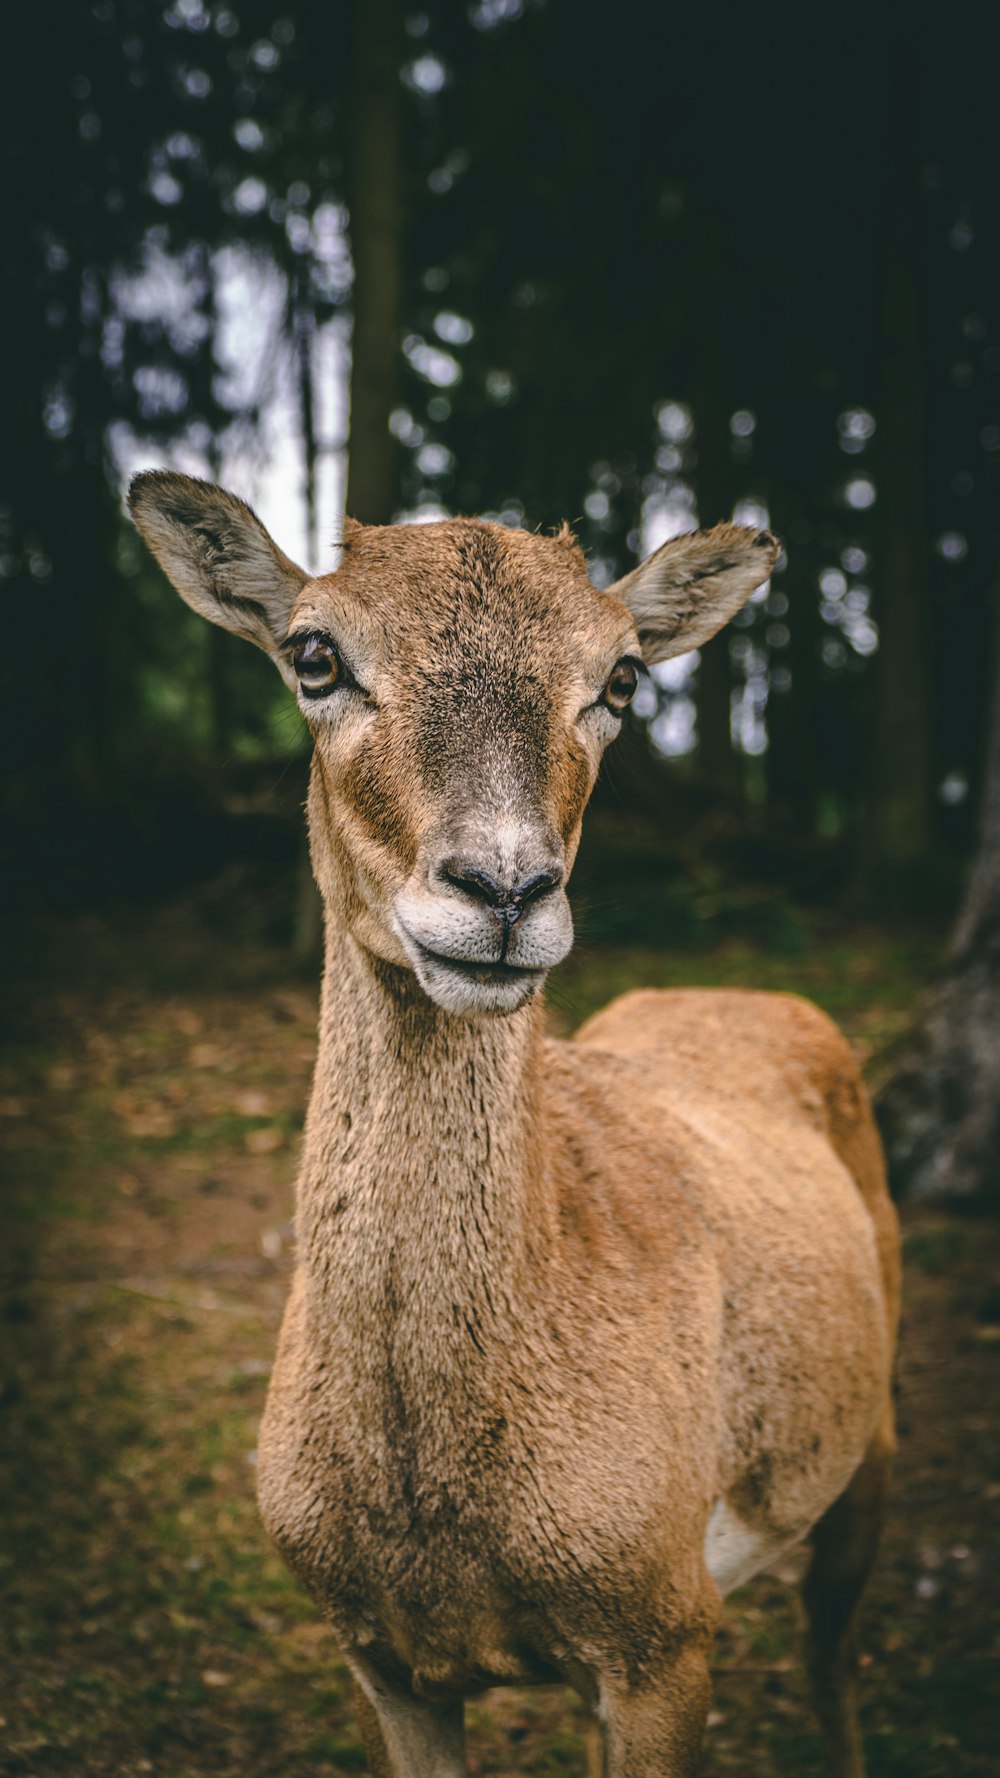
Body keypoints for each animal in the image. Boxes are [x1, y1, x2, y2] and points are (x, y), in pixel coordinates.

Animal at [128, 472, 900, 1778]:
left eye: (622, 677)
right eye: (314, 653)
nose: (501, 889)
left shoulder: (664, 1629)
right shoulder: (379, 1654)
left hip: (874, 1428)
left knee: (832, 1653)